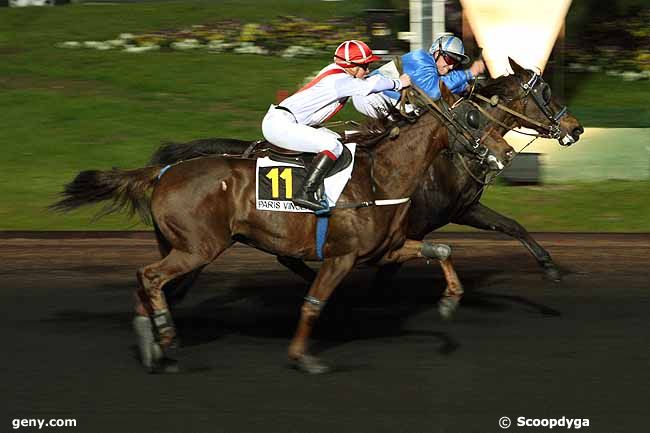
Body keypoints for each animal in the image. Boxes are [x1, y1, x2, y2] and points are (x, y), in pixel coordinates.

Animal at [52, 83, 512, 372]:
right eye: (472, 117)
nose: (505, 153)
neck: (381, 176)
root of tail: (164, 171)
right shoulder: (342, 256)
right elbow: (312, 304)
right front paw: (303, 357)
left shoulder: (386, 249)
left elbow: (443, 251)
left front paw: (450, 301)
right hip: (198, 248)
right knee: (149, 277)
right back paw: (165, 335)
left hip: (178, 245)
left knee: (147, 283)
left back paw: (150, 340)